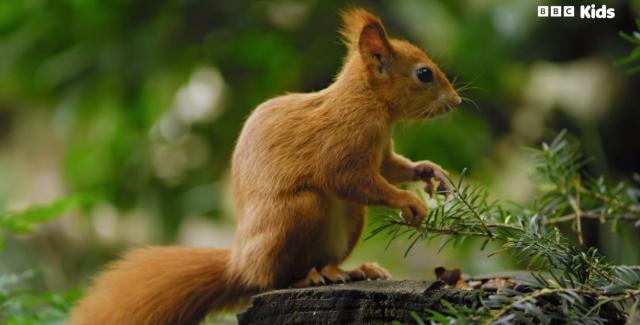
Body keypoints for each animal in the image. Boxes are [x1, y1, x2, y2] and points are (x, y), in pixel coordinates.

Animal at [69, 8, 460, 324]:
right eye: (424, 74)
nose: (456, 101)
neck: (369, 102)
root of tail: (240, 264)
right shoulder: (341, 144)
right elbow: (352, 180)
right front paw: (408, 201)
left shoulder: (381, 150)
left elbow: (393, 167)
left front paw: (429, 172)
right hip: (296, 213)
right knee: (273, 278)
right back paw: (306, 278)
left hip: (349, 219)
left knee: (325, 260)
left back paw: (352, 271)